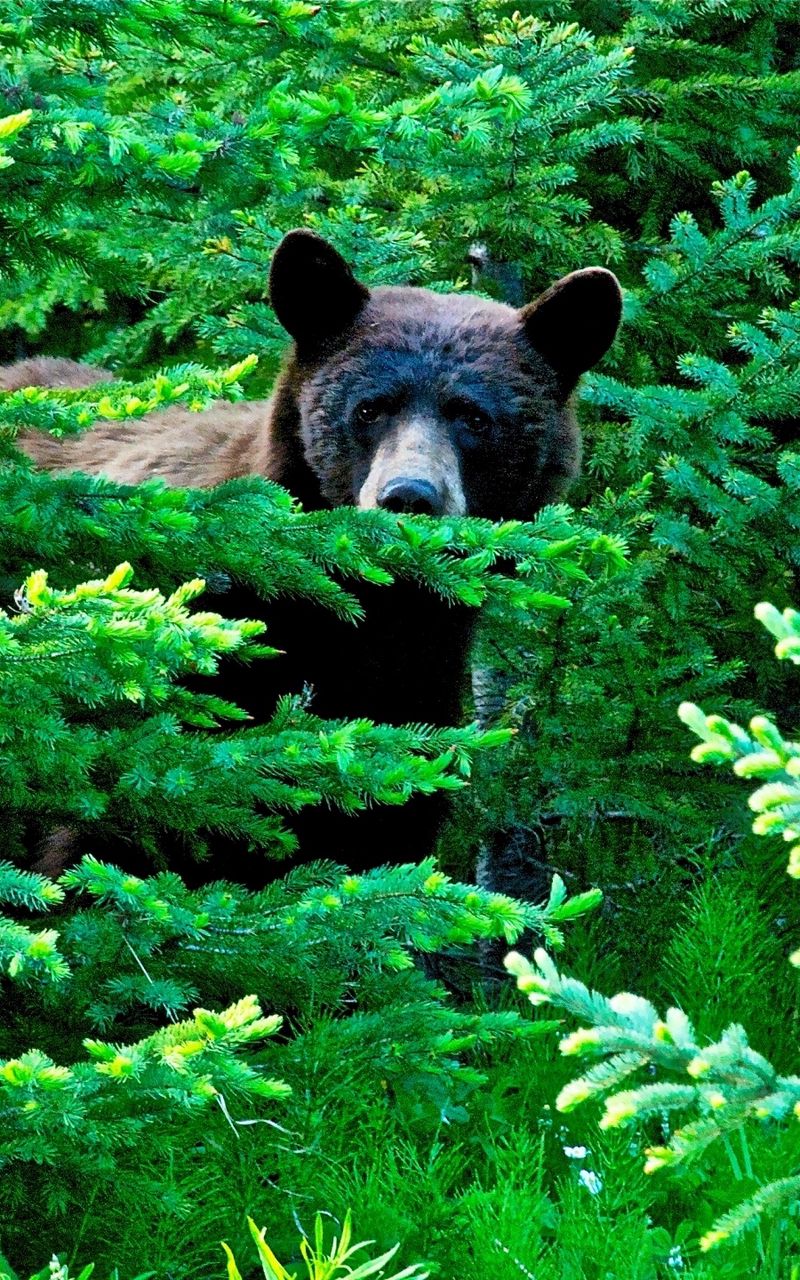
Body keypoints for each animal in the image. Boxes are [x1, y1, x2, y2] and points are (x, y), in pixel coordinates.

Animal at [14, 230, 624, 880]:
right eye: (370, 407)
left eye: (474, 418)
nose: (408, 496)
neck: (365, 618)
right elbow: (101, 849)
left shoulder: (410, 723)